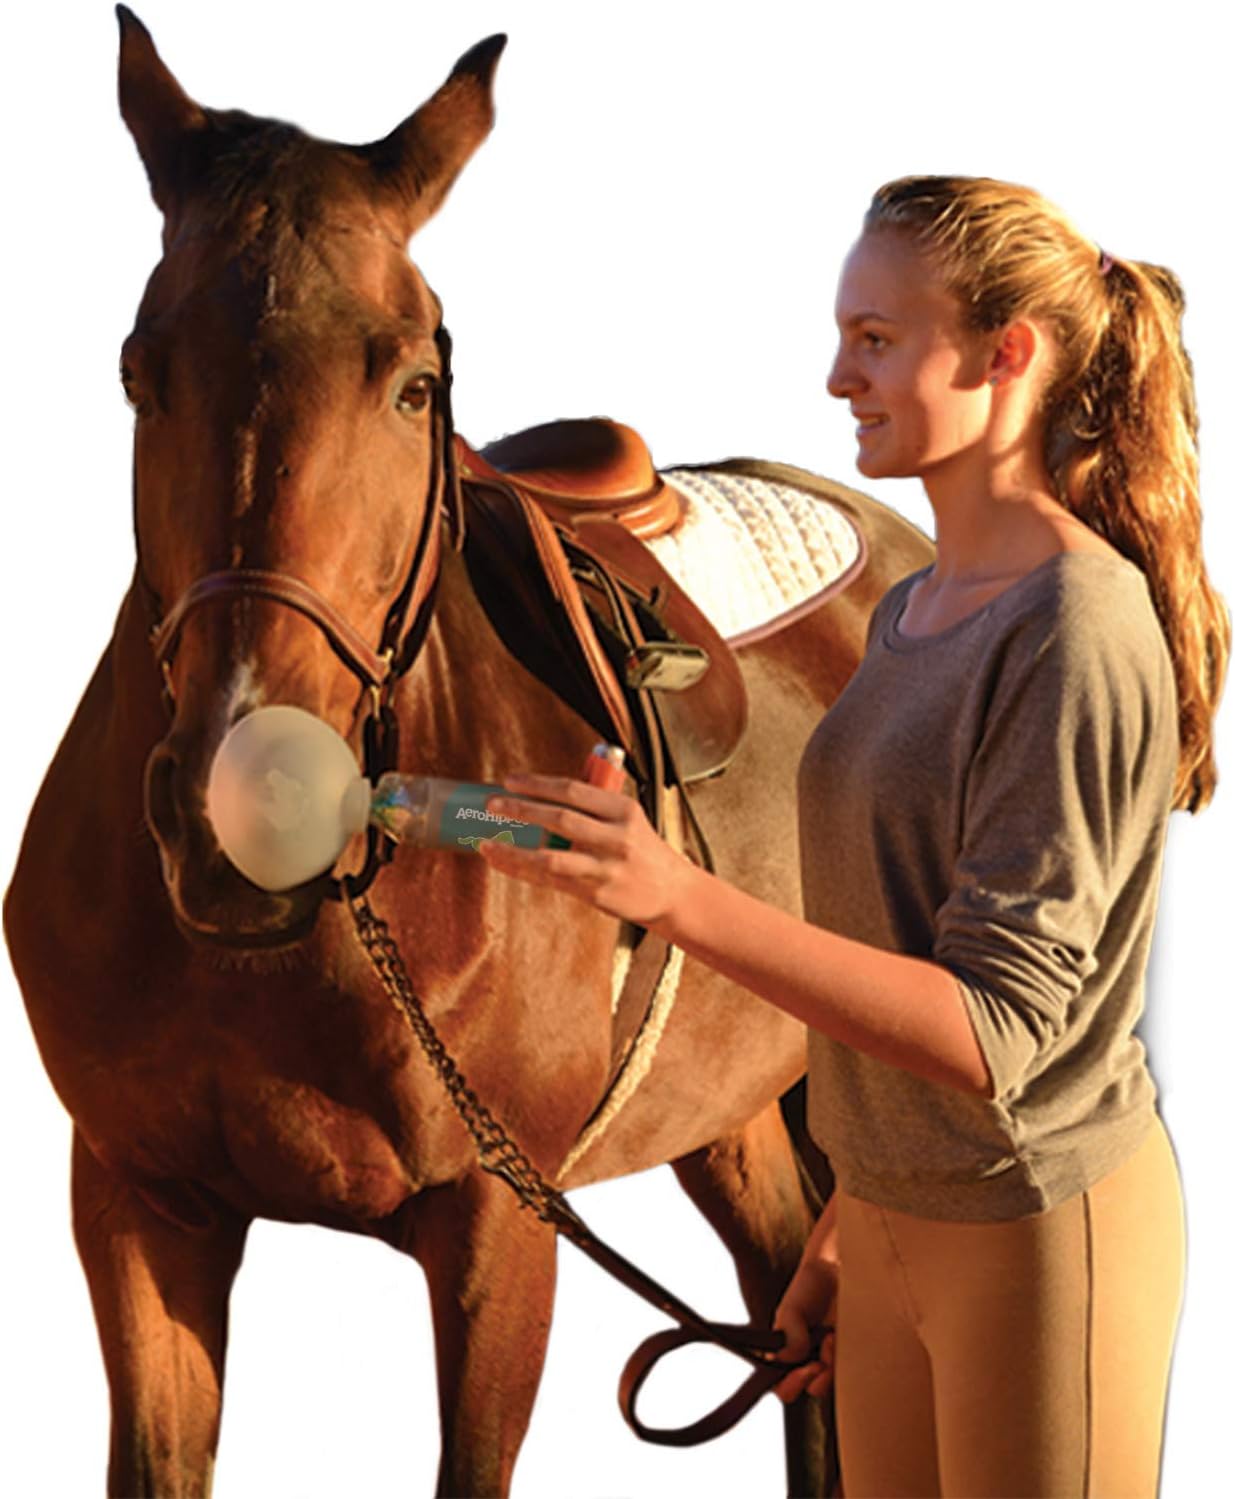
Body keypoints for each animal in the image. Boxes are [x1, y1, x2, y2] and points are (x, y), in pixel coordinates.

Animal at [3, 9, 932, 1496]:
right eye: (140, 371)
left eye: (414, 382)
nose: (246, 812)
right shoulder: (140, 1207)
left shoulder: (500, 1230)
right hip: (732, 1107)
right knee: (792, 1314)